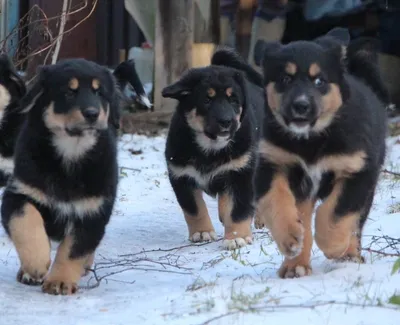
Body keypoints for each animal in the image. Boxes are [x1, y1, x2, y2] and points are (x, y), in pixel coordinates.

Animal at [1, 57, 119, 294]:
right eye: (69, 92)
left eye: (99, 92)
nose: (92, 113)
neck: (70, 153)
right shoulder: (18, 193)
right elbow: (26, 222)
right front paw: (35, 264)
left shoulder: (93, 211)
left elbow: (74, 249)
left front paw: (60, 281)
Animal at [162, 48, 266, 248]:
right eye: (207, 100)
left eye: (234, 100)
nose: (226, 121)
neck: (210, 148)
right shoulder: (181, 175)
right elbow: (194, 209)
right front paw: (202, 232)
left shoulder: (242, 172)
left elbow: (239, 209)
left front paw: (237, 237)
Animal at [253, 29, 388, 276]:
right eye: (285, 79)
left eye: (319, 81)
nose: (301, 106)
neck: (311, 139)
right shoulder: (273, 163)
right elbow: (275, 201)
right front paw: (289, 239)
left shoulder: (358, 171)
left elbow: (336, 211)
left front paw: (333, 245)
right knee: (305, 219)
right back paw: (295, 266)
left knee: (355, 223)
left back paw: (349, 254)